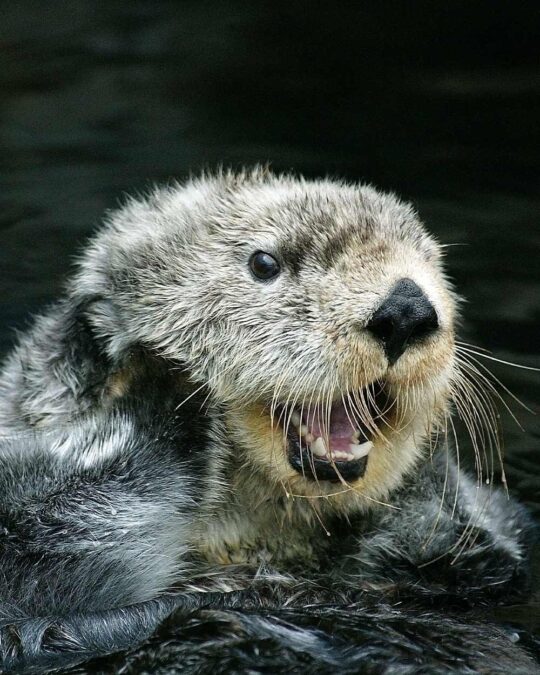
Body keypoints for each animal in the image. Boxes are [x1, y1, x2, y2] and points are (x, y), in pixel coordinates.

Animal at [0, 169, 536, 673]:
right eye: (264, 263)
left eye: (432, 267)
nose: (407, 308)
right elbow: (45, 536)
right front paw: (159, 376)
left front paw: (432, 479)